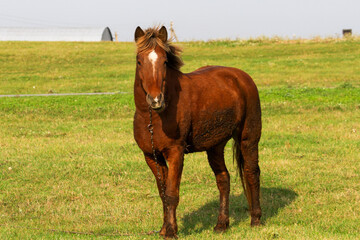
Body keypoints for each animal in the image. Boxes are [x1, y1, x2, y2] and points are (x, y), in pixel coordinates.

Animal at [132, 26, 262, 238]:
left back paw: (256, 219)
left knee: (251, 173)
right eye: (139, 61)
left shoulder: (175, 153)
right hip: (215, 146)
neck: (154, 117)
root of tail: (241, 77)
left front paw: (171, 232)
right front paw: (164, 229)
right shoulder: (151, 156)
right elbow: (163, 193)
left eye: (164, 61)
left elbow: (171, 193)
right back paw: (221, 224)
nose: (156, 100)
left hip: (248, 139)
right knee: (223, 179)